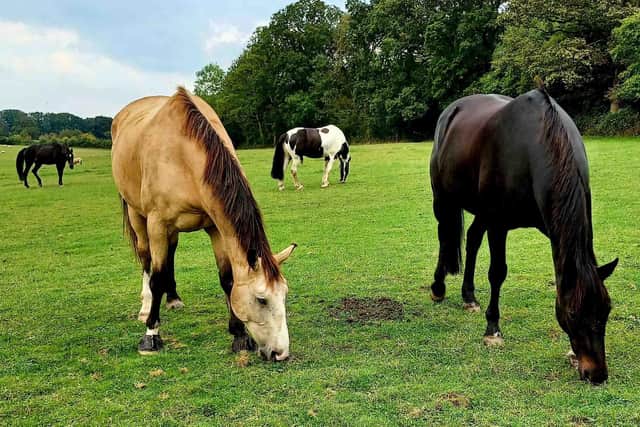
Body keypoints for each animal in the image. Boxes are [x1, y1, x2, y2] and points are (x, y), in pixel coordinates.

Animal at [111, 87, 297, 359]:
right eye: (261, 299)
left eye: (283, 294)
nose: (280, 353)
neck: (184, 156)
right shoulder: (157, 224)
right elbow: (157, 277)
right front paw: (151, 335)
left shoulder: (215, 227)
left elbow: (227, 279)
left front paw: (239, 336)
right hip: (138, 215)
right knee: (146, 259)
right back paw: (146, 308)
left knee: (170, 254)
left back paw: (173, 298)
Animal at [429, 87, 618, 384]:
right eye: (573, 313)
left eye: (606, 310)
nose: (596, 373)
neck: (535, 148)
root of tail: (451, 111)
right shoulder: (498, 224)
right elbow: (497, 273)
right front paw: (492, 330)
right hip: (443, 199)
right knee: (444, 237)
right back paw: (438, 288)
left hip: (480, 211)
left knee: (472, 240)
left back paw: (469, 296)